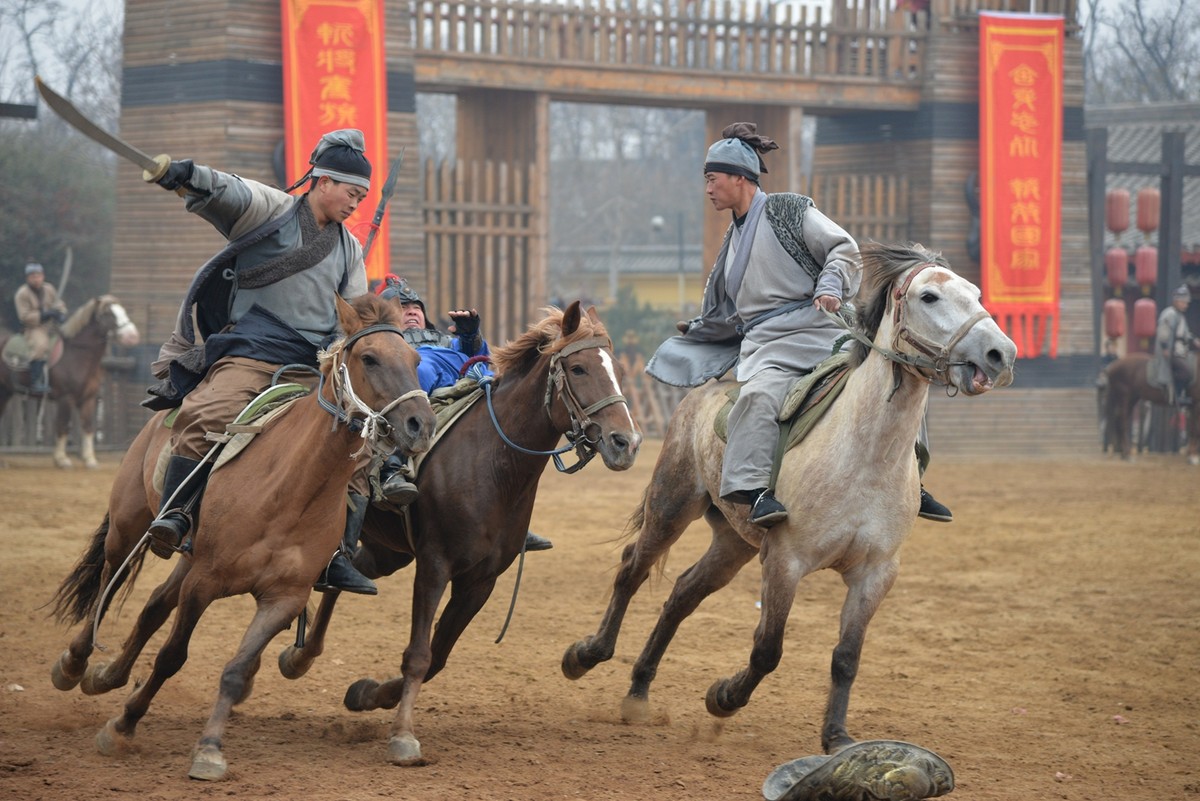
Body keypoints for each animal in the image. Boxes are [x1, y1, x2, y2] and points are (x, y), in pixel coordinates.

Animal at [0, 293, 140, 470]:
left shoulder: (88, 399)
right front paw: (61, 459)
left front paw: (90, 459)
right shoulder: (65, 398)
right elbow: (63, 426)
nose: (132, 336)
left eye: (122, 310)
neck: (78, 353)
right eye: (107, 313)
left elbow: (88, 427)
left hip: (5, 392)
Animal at [50, 293, 441, 781]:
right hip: (129, 527)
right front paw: (123, 726)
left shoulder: (282, 599)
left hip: (186, 559)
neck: (290, 490)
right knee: (109, 582)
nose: (420, 425)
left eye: (415, 359)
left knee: (154, 605)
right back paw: (74, 663)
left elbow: (236, 671)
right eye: (369, 358)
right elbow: (172, 656)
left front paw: (209, 748)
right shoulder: (205, 582)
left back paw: (107, 675)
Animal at [274, 299, 648, 762]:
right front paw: (403, 735)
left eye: (616, 367)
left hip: (388, 553)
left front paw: (368, 693)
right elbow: (419, 654)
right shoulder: (435, 566)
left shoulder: (479, 582)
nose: (626, 443)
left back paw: (301, 656)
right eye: (578, 368)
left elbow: (436, 657)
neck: (492, 464)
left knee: (344, 577)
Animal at [559, 244, 1012, 757]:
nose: (1001, 353)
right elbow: (767, 649)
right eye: (929, 296)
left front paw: (836, 737)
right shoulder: (785, 561)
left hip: (734, 542)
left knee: (683, 593)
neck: (864, 453)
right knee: (632, 569)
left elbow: (846, 657)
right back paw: (586, 655)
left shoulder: (875, 574)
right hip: (671, 507)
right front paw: (723, 697)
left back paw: (638, 690)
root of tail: (708, 391)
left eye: (976, 293)